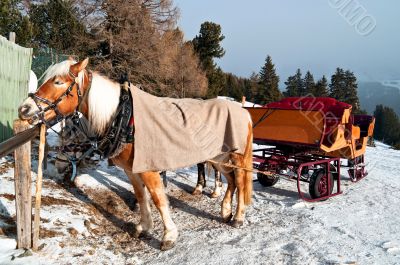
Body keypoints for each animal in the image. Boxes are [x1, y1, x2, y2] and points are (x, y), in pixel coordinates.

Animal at [18, 57, 253, 250]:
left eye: (58, 82)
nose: (24, 109)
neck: (123, 117)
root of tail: (243, 111)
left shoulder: (148, 168)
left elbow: (158, 198)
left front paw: (169, 235)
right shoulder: (131, 169)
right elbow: (141, 196)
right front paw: (144, 226)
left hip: (237, 157)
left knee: (241, 182)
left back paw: (238, 217)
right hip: (221, 157)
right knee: (231, 181)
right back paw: (225, 211)